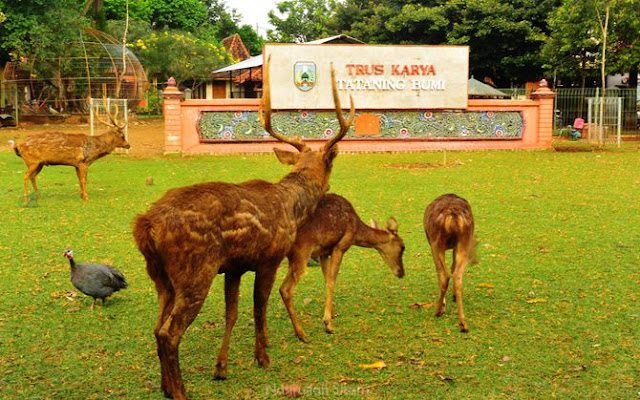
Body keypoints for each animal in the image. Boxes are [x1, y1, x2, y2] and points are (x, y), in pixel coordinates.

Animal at [132, 56, 358, 400]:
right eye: (330, 165)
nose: (330, 186)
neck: (293, 207)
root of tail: (146, 225)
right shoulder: (269, 258)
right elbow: (259, 307)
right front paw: (263, 356)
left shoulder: (235, 267)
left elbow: (232, 312)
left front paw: (221, 367)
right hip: (195, 271)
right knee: (169, 333)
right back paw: (180, 391)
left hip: (160, 276)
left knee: (156, 327)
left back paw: (166, 387)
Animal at [280, 192, 404, 342]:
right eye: (403, 247)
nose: (401, 272)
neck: (357, 232)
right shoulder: (340, 246)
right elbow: (332, 282)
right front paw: (328, 324)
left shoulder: (324, 252)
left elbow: (327, 280)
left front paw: (330, 313)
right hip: (302, 251)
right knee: (285, 289)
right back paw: (301, 334)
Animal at [422, 193, 478, 332]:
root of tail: (453, 216)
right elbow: (453, 267)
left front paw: (443, 304)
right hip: (463, 242)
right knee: (457, 275)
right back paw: (463, 324)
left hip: (436, 243)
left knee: (444, 275)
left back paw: (438, 311)